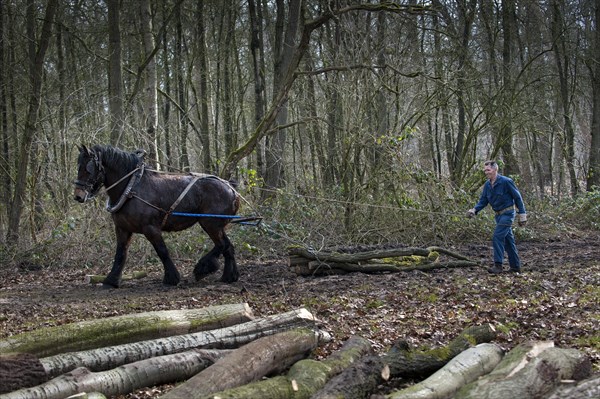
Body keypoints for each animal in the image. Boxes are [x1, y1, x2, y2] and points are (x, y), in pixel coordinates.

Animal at [71, 145, 238, 290]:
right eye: (78, 166)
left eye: (88, 169)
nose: (78, 196)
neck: (131, 188)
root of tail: (231, 188)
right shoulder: (122, 229)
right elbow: (120, 254)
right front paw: (111, 281)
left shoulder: (150, 228)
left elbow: (162, 251)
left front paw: (172, 278)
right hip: (217, 226)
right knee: (228, 247)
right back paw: (229, 277)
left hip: (210, 223)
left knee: (222, 245)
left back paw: (202, 269)